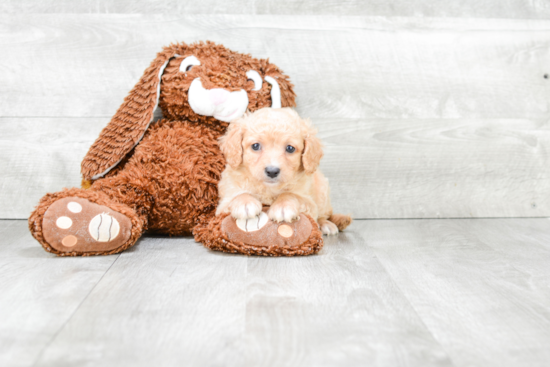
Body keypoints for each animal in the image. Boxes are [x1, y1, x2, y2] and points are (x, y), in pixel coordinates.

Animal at [218, 108, 352, 236]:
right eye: (255, 146)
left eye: (290, 148)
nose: (272, 171)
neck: (269, 189)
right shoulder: (223, 204)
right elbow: (239, 195)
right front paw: (245, 203)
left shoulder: (309, 202)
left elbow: (290, 194)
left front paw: (283, 206)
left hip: (323, 192)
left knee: (324, 214)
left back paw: (326, 224)